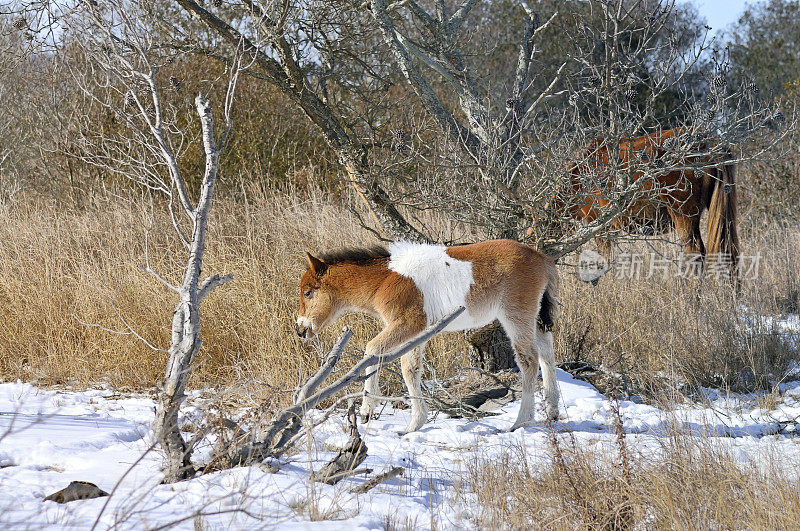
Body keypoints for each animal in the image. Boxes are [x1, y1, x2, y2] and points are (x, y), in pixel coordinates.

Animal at [296, 239, 564, 434]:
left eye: (308, 293)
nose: (300, 329)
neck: (385, 280)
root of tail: (541, 258)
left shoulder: (408, 324)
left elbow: (372, 350)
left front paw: (366, 409)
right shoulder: (418, 332)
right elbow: (411, 370)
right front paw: (415, 424)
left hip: (516, 315)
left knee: (528, 360)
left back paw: (521, 421)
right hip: (534, 316)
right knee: (547, 351)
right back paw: (552, 410)